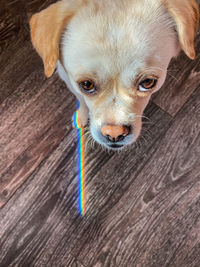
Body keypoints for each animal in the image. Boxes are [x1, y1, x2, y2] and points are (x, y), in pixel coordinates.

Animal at [29, 0, 198, 151]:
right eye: (86, 85)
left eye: (148, 82)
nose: (114, 134)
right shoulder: (68, 80)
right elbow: (81, 99)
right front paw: (81, 116)